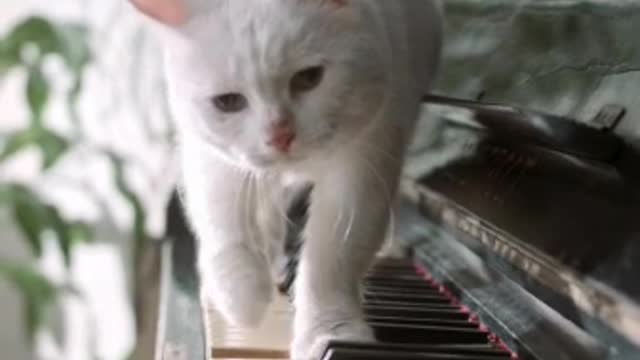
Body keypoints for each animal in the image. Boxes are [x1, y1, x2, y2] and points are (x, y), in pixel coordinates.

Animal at [130, 1, 440, 358]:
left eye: (309, 78)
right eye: (228, 102)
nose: (280, 135)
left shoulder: (366, 163)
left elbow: (332, 258)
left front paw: (330, 333)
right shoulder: (212, 156)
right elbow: (224, 223)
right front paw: (242, 301)